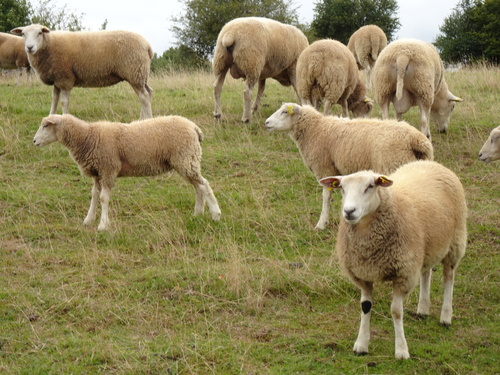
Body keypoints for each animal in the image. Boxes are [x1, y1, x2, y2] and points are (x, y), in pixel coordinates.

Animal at [11, 23, 152, 119]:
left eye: (40, 33)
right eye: (23, 34)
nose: (29, 47)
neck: (49, 45)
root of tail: (147, 45)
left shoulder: (65, 78)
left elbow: (64, 102)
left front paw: (64, 118)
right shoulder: (57, 79)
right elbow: (54, 100)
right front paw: (50, 117)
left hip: (135, 72)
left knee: (144, 97)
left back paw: (146, 119)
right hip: (141, 75)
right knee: (148, 93)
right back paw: (142, 119)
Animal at [34, 114, 222, 232]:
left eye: (45, 125)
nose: (34, 141)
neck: (87, 136)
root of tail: (195, 128)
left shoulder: (108, 170)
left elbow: (104, 198)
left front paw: (103, 225)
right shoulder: (97, 173)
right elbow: (94, 195)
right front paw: (88, 220)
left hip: (186, 158)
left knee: (204, 185)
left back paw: (216, 214)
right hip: (186, 161)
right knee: (198, 187)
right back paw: (198, 214)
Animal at [266, 103, 434, 232]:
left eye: (284, 112)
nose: (266, 122)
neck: (315, 129)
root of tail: (416, 140)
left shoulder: (324, 168)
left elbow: (326, 197)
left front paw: (321, 224)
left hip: (394, 164)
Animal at [320, 160, 468, 360]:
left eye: (370, 186)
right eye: (342, 188)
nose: (349, 211)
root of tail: (429, 162)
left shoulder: (403, 274)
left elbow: (396, 312)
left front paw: (401, 350)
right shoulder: (363, 274)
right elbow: (365, 307)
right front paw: (361, 345)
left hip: (455, 242)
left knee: (448, 277)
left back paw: (446, 316)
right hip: (425, 249)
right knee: (426, 272)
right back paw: (423, 309)